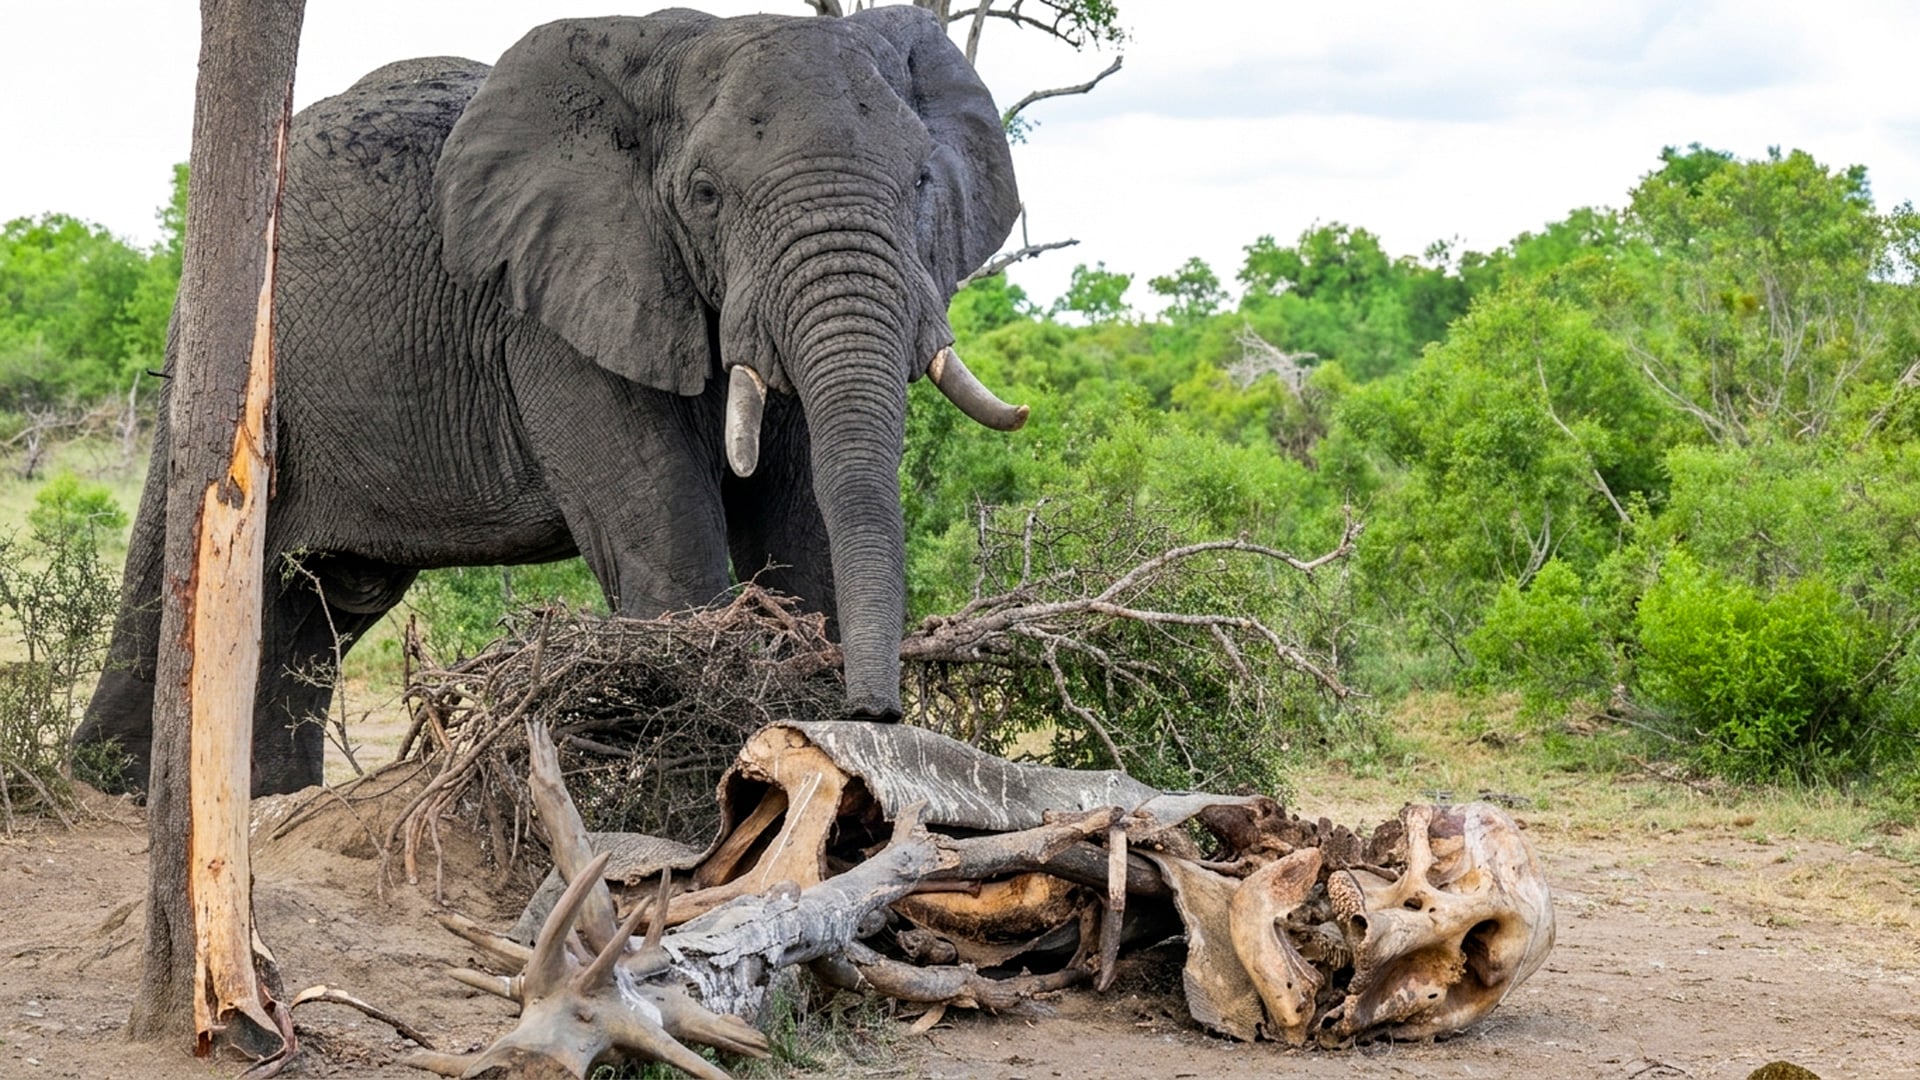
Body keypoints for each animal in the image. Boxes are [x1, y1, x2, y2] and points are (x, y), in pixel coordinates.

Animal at [75, 6, 1027, 797]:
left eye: (922, 183)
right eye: (706, 194)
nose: (877, 714)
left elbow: (804, 536)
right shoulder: (552, 315)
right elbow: (670, 545)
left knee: (321, 603)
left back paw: (272, 801)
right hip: (223, 352)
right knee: (176, 569)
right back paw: (115, 793)